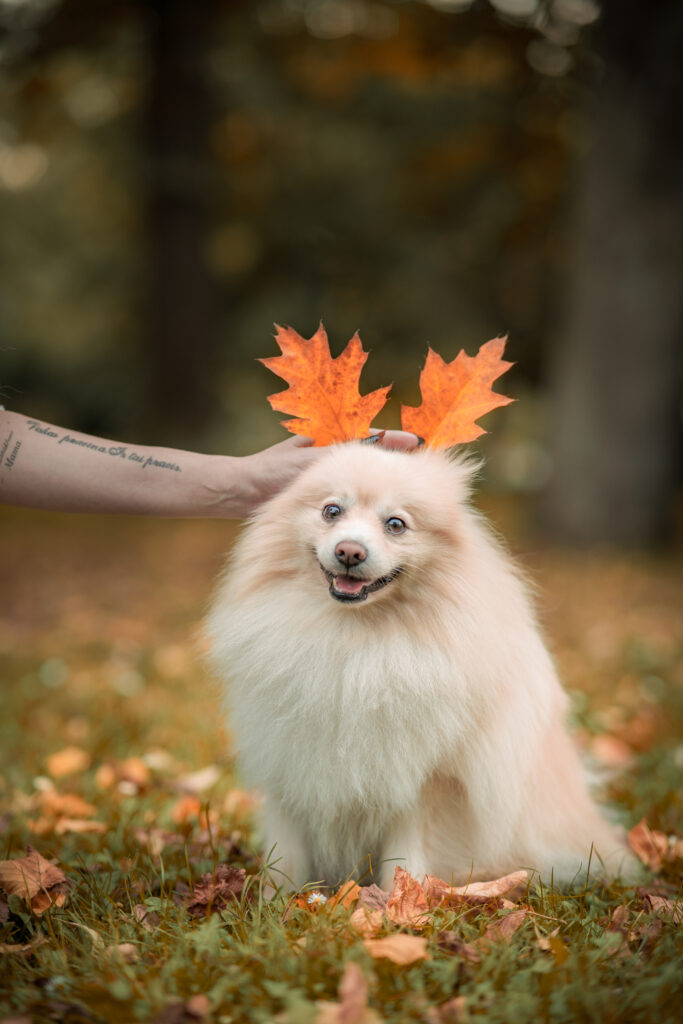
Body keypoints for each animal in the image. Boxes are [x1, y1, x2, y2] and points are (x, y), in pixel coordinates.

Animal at [205, 442, 634, 888]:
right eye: (331, 511)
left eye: (396, 524)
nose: (349, 551)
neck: (353, 643)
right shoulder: (290, 766)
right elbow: (286, 854)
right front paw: (279, 898)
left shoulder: (424, 783)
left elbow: (406, 855)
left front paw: (400, 902)